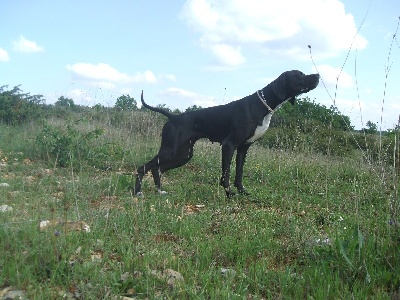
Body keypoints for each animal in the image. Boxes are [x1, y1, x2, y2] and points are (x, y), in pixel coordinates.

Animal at [134, 70, 318, 197]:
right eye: (300, 74)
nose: (317, 75)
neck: (262, 105)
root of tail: (173, 116)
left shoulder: (243, 148)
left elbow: (239, 173)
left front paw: (243, 192)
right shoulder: (229, 145)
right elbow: (226, 173)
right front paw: (229, 193)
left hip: (183, 155)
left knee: (157, 169)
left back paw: (160, 191)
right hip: (170, 150)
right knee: (143, 167)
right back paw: (137, 193)